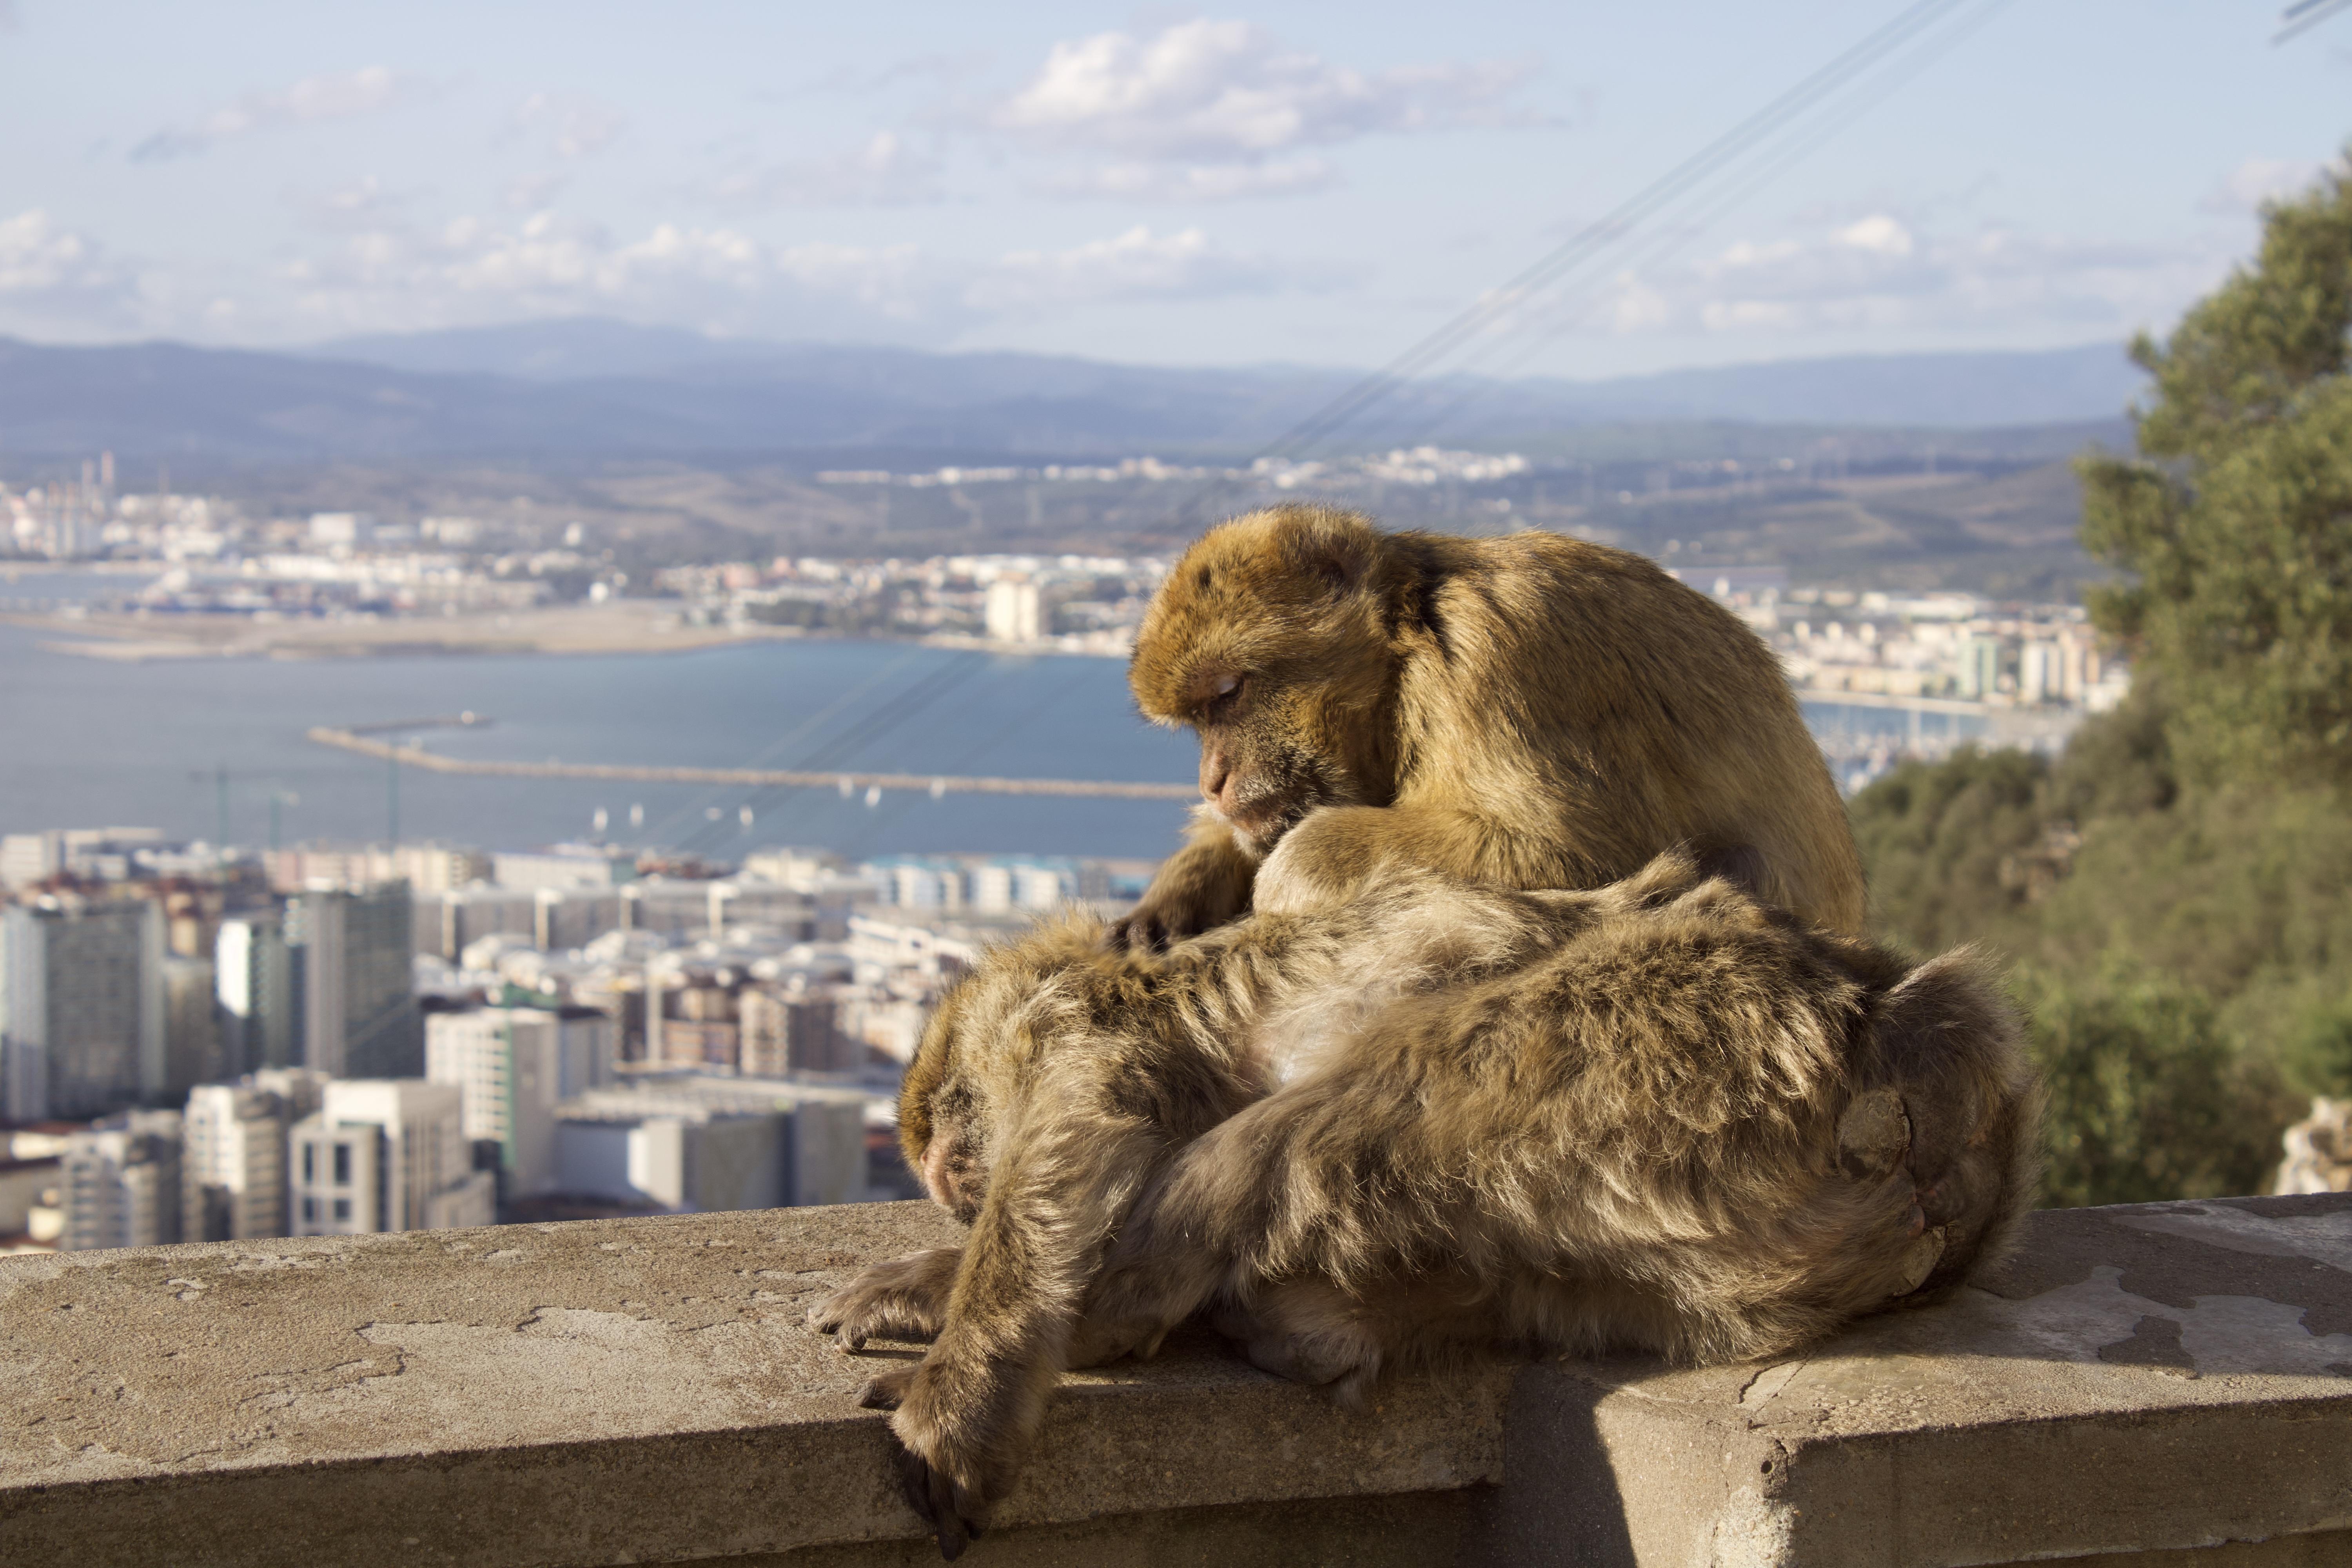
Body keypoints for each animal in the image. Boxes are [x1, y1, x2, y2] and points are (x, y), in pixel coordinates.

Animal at [809, 843, 2038, 1556]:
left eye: (941, 1129)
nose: (941, 1170)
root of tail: (1906, 1053)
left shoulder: (1066, 1029)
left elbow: (1082, 1124)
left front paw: (961, 1380)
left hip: (1664, 1034)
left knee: (1338, 1115)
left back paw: (1124, 1303)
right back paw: (1313, 1323)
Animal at [1105, 504, 1867, 952]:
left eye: (1228, 694)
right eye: (1197, 720)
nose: (1211, 780)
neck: (1408, 651)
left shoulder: (1497, 658)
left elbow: (1566, 852)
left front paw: (1290, 871)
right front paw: (1178, 891)